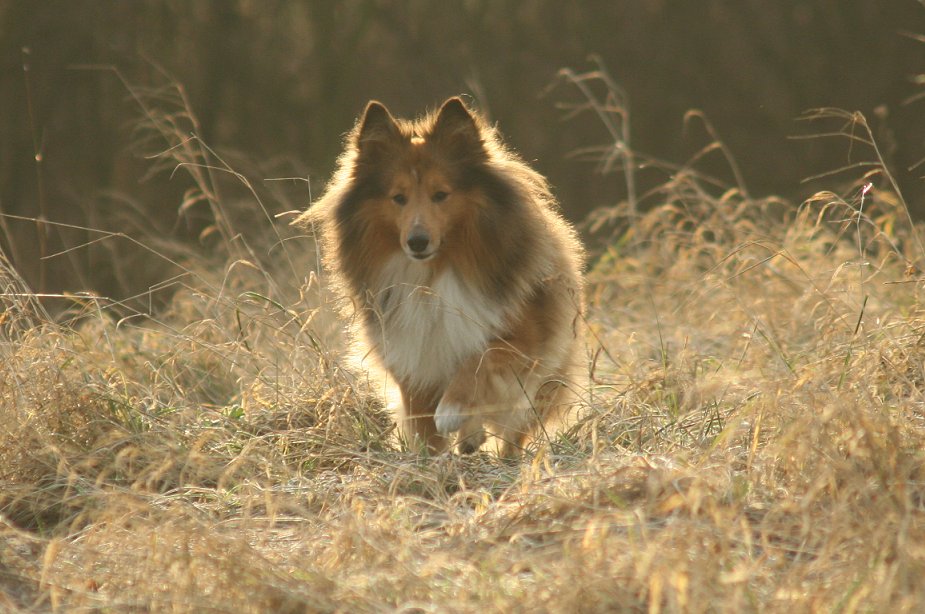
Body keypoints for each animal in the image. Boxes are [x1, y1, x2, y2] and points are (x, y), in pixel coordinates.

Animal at [296, 96, 584, 458]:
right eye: (398, 197)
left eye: (441, 194)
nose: (417, 242)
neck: (432, 274)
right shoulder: (410, 349)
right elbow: (421, 417)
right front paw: (429, 456)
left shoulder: (524, 336)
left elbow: (480, 359)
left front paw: (451, 408)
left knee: (514, 427)